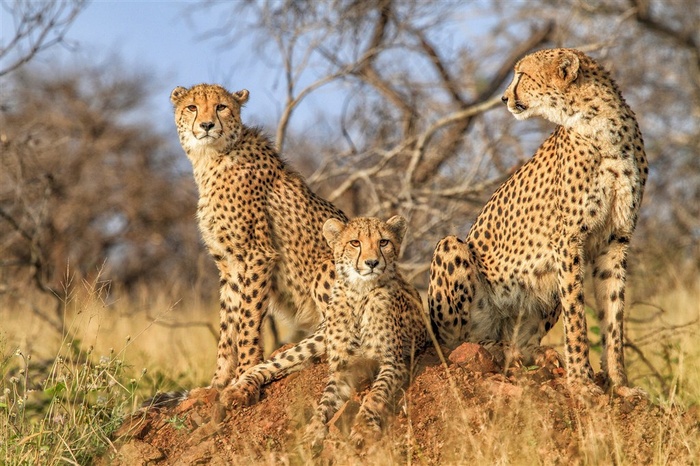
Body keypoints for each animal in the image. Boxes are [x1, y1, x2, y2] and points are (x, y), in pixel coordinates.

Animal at [172, 84, 348, 390]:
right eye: (192, 107)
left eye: (221, 107)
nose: (206, 125)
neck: (211, 158)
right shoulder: (228, 264)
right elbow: (227, 323)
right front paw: (218, 382)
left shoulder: (257, 255)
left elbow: (248, 319)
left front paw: (244, 370)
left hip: (328, 265)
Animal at [220, 215, 426, 448]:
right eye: (355, 243)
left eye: (384, 242)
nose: (372, 263)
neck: (360, 293)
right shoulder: (341, 370)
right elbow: (323, 402)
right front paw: (313, 431)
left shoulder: (394, 361)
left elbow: (375, 394)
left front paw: (363, 428)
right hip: (315, 340)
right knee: (271, 363)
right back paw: (238, 390)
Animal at [430, 48, 648, 394]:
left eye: (523, 75)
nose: (504, 97)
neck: (602, 128)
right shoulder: (568, 241)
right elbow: (577, 317)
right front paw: (581, 382)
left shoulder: (615, 241)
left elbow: (613, 316)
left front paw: (619, 384)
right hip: (452, 251)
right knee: (455, 344)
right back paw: (489, 350)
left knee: (521, 344)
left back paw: (532, 355)